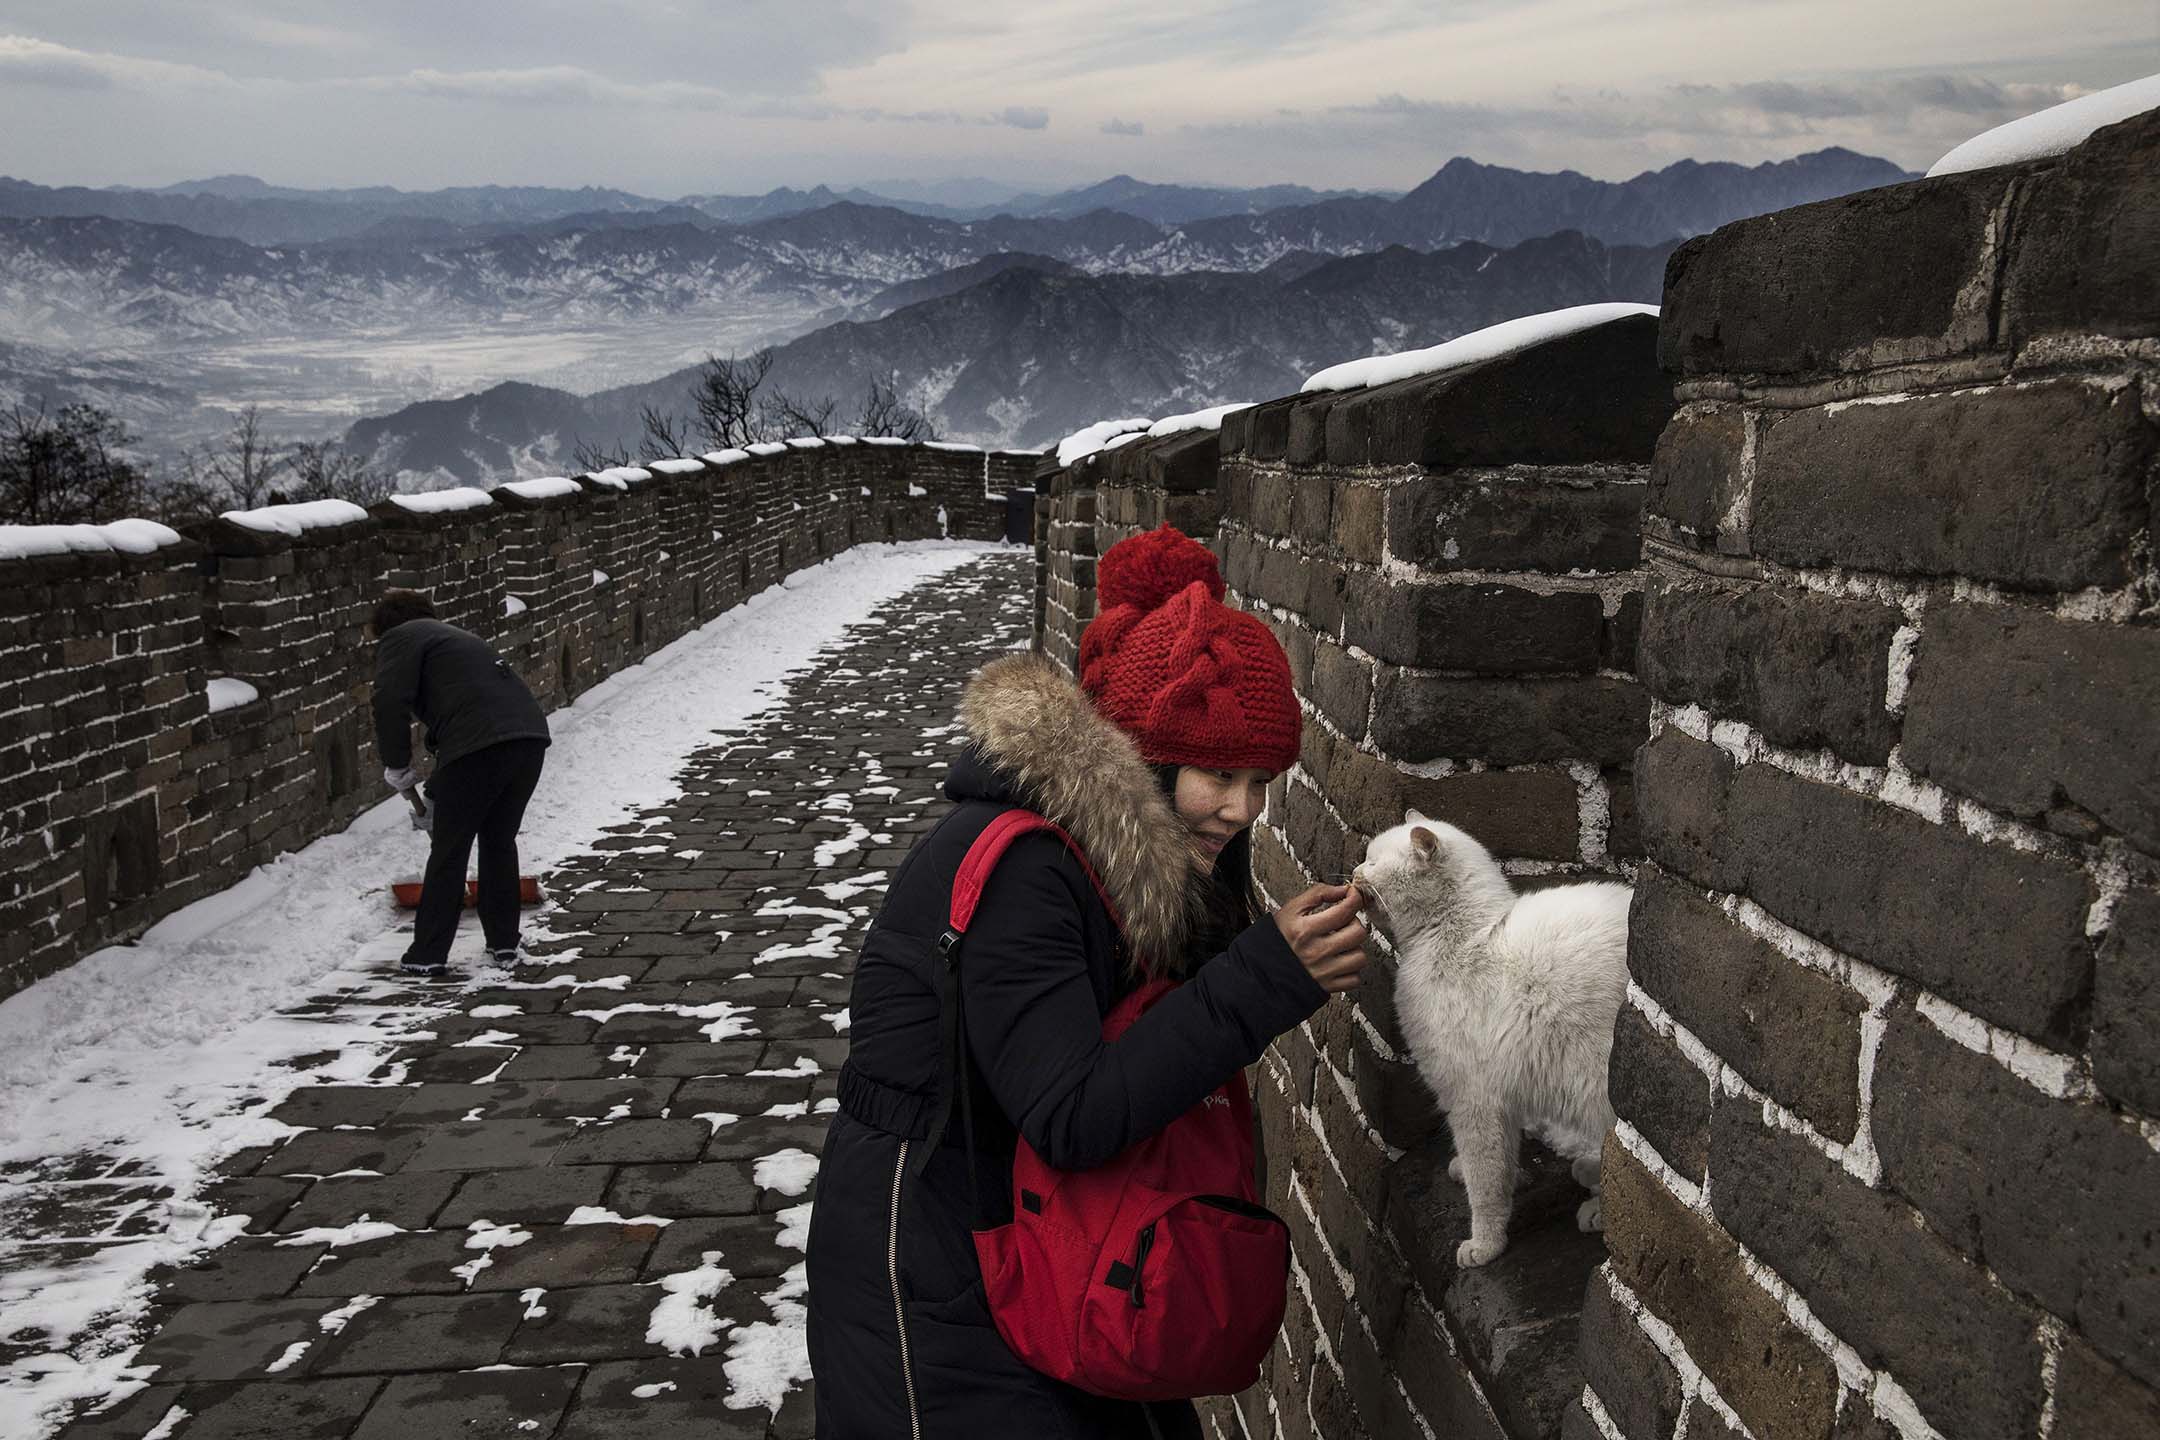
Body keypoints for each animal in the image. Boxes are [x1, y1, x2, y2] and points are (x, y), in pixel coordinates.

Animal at [1356, 811, 1624, 1269]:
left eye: (1373, 862)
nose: (1355, 871)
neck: (1456, 940)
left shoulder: (1473, 1100)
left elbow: (1487, 1186)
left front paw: (1484, 1245)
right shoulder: (1499, 1096)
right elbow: (1500, 1162)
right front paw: (1468, 1170)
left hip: (1598, 1088)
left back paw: (1598, 1211)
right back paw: (1589, 1176)